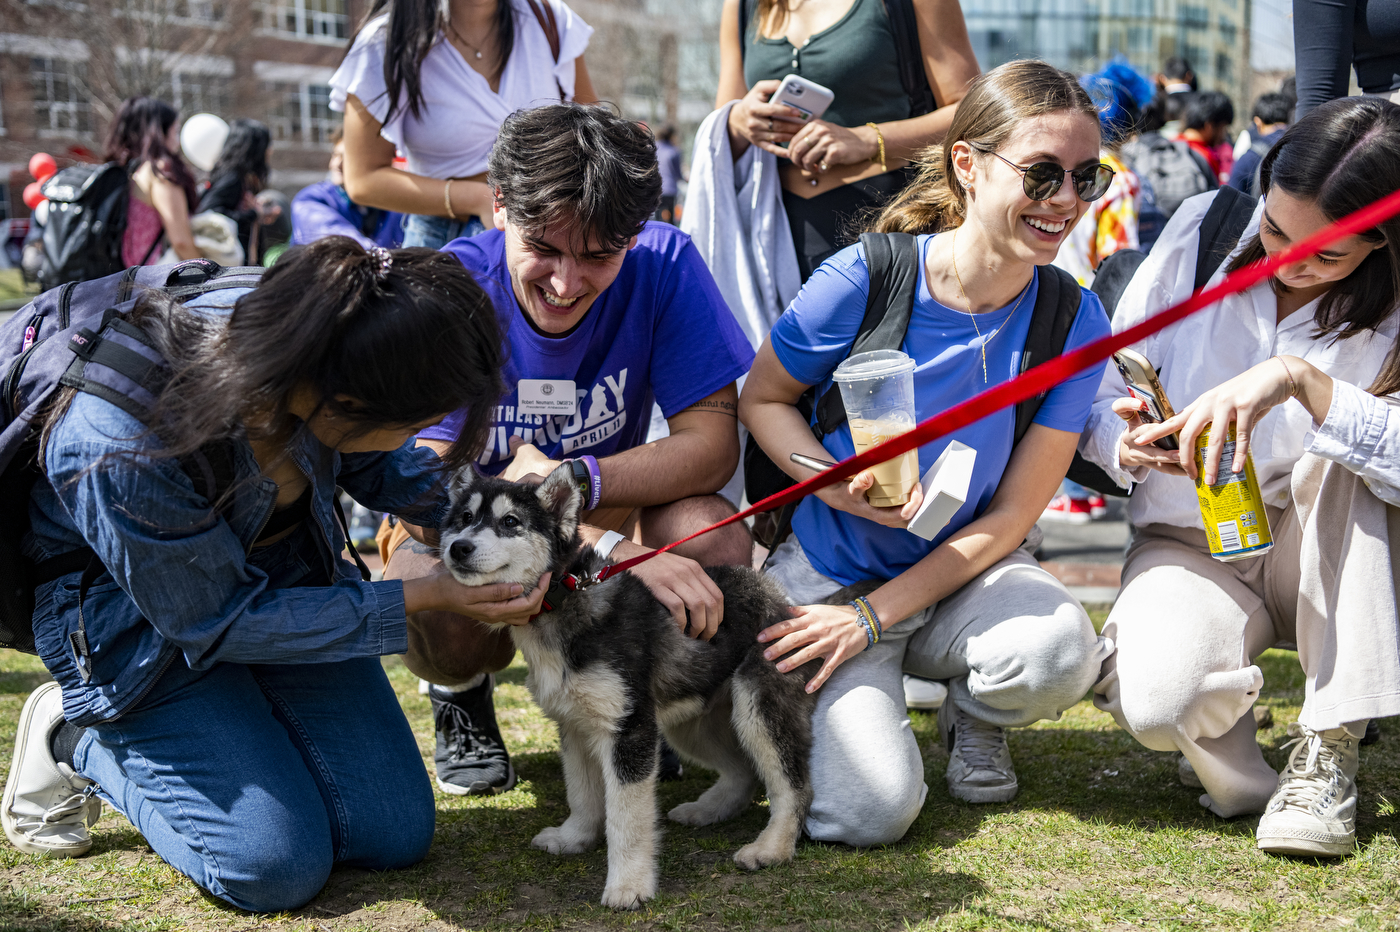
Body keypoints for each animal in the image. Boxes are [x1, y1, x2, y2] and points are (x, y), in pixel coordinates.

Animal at [439, 464, 817, 906]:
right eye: (464, 518)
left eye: (510, 522)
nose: (459, 548)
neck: (563, 599)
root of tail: (777, 597)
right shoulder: (576, 725)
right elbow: (582, 792)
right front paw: (574, 838)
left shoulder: (629, 730)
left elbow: (627, 818)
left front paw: (629, 885)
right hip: (693, 722)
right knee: (743, 771)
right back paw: (707, 810)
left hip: (759, 709)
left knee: (793, 787)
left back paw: (771, 848)